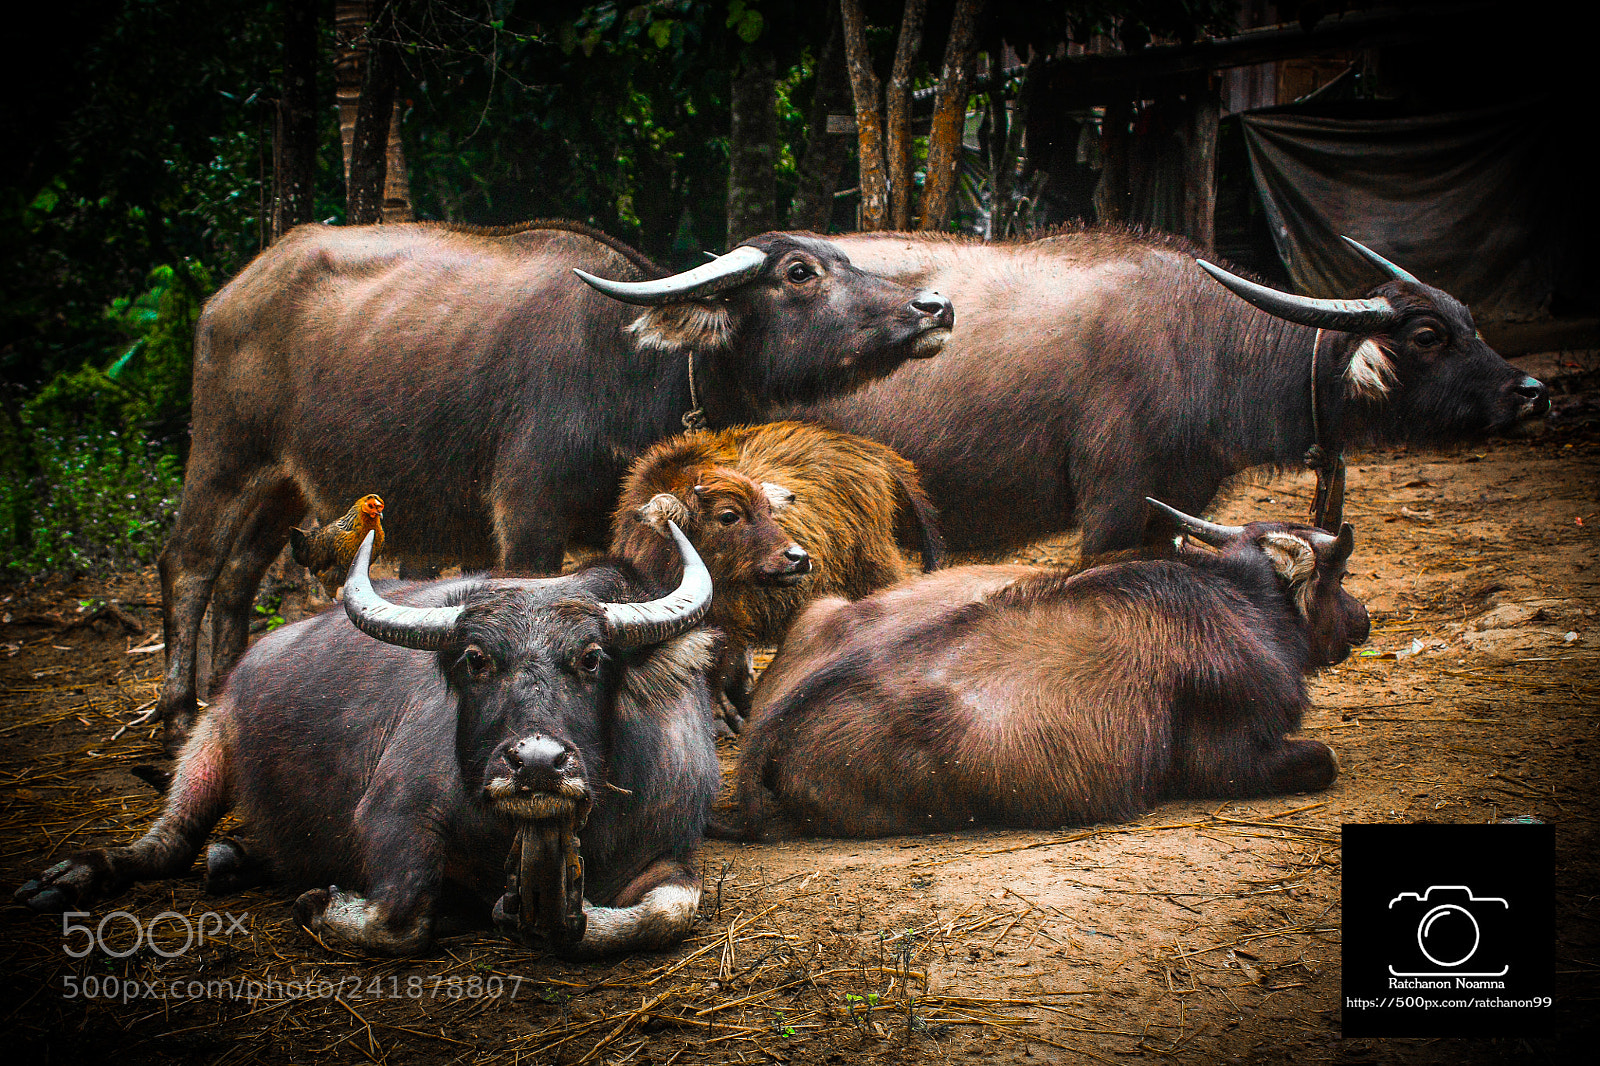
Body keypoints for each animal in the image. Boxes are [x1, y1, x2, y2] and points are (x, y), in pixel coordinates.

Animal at [19, 526, 722, 958]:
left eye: (594, 659)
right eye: (474, 659)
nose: (538, 764)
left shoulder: (670, 844)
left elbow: (666, 915)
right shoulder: (394, 815)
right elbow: (401, 917)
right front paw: (322, 904)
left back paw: (233, 858)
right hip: (208, 739)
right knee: (168, 840)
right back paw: (71, 877)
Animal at [610, 421, 945, 727]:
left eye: (768, 510)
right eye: (728, 515)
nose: (799, 558)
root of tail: (868, 451)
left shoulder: (730, 628)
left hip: (875, 566)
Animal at [718, 500, 1369, 839]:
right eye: (1340, 575)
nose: (1362, 620)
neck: (1241, 596)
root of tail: (766, 737)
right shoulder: (1232, 760)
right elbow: (1324, 760)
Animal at [764, 229, 1548, 557]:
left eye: (1467, 317)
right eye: (1428, 336)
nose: (1532, 391)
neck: (1204, 350)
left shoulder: (1176, 508)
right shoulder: (1113, 508)